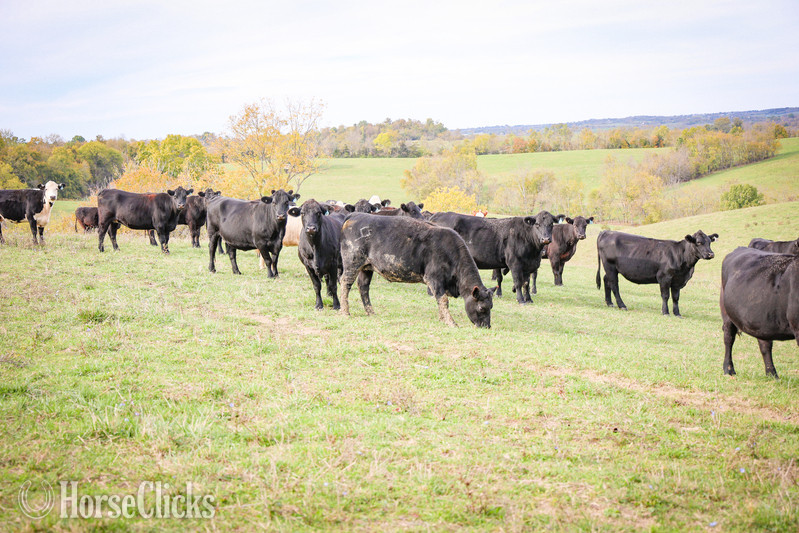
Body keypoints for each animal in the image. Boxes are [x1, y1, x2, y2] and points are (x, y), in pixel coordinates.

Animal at [339, 213, 493, 328]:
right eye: (482, 308)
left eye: (491, 306)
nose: (487, 326)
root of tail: (355, 215)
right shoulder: (434, 278)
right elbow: (443, 299)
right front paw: (451, 322)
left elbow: (440, 300)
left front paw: (442, 318)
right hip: (352, 262)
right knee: (345, 284)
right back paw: (345, 312)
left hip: (366, 267)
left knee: (363, 287)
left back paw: (371, 312)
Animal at [430, 211, 564, 304]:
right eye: (537, 224)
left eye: (551, 224)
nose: (546, 239)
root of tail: (439, 214)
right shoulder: (514, 263)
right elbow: (518, 282)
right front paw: (520, 299)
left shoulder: (528, 265)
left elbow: (526, 283)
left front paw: (529, 299)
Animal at [721, 247, 799, 378]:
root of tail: (740, 248)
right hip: (727, 314)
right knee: (728, 339)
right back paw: (729, 369)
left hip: (761, 320)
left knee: (765, 344)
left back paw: (771, 374)